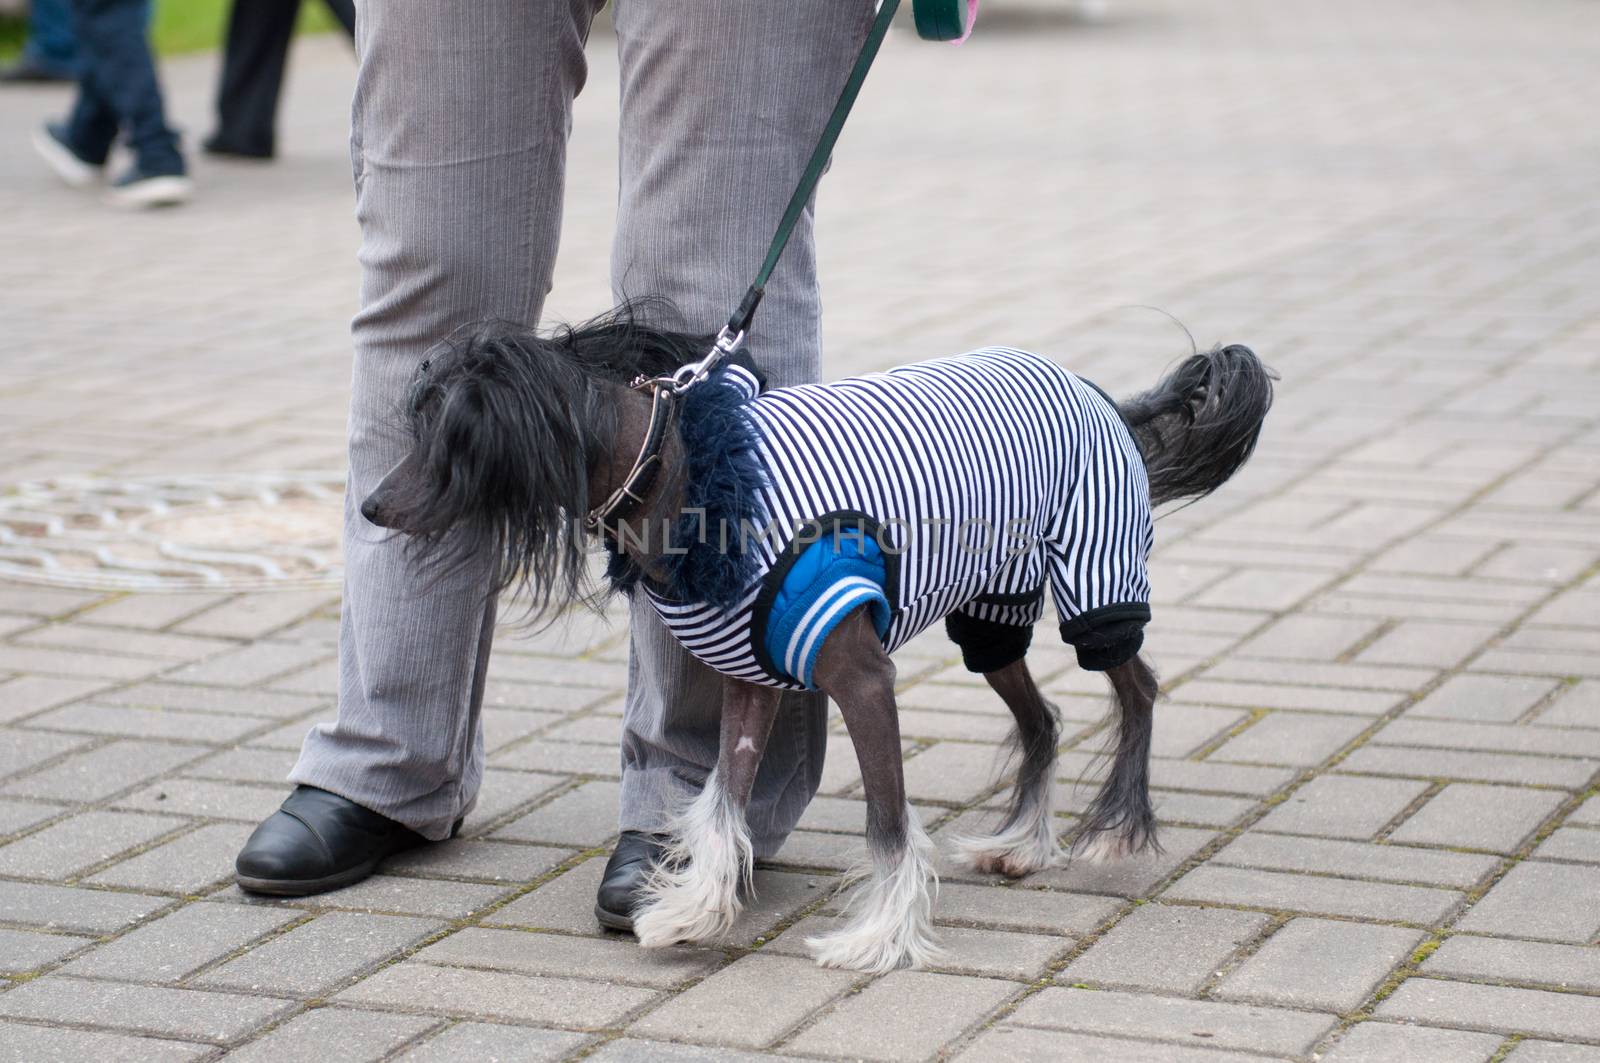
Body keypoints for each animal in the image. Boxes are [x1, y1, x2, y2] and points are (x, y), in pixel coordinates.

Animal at [363, 307, 1273, 973]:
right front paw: (694, 906)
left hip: (1096, 571)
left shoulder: (864, 679)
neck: (692, 471)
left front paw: (881, 935)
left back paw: (1117, 826)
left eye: (451, 437)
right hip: (993, 612)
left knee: (1137, 684)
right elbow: (722, 798)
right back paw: (1024, 843)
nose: (369, 505)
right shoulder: (751, 675)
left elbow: (888, 823)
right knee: (1042, 717)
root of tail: (1097, 392)